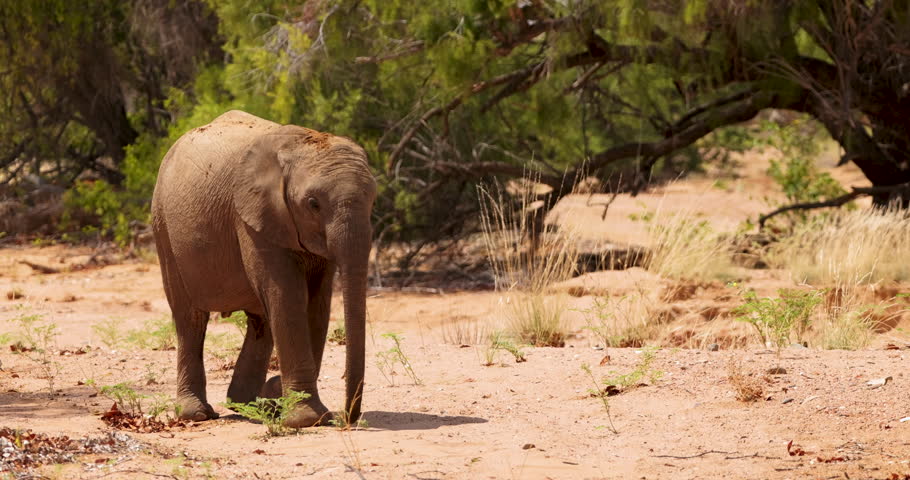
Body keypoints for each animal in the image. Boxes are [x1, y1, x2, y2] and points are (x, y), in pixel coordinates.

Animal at [151, 110, 376, 428]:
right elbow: (289, 295)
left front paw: (282, 401)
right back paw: (198, 414)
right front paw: (307, 419)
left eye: (373, 200)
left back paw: (250, 405)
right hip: (163, 225)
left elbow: (316, 302)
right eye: (313, 204)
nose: (347, 418)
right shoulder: (251, 216)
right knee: (190, 319)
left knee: (260, 321)